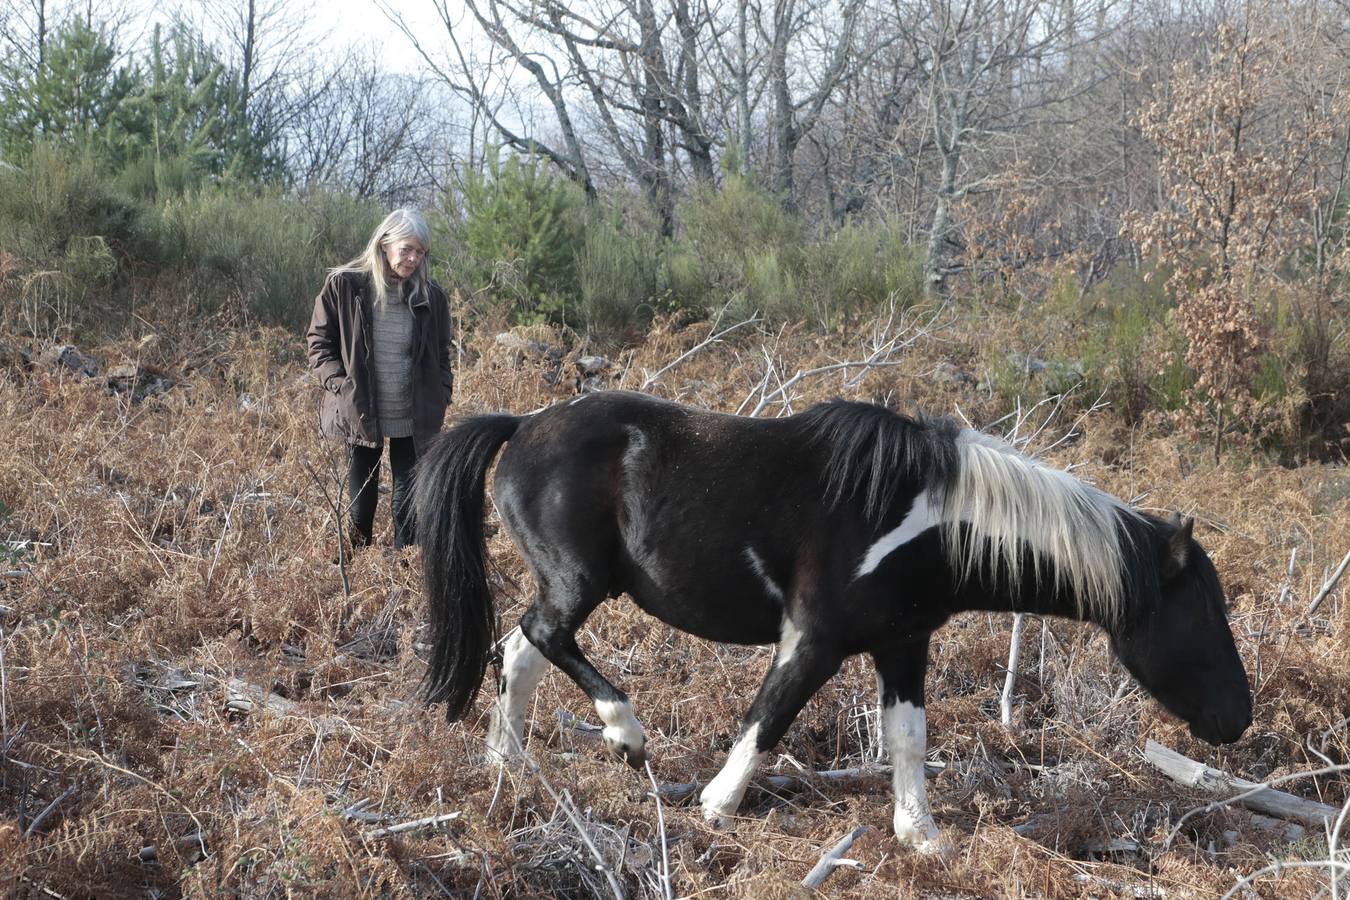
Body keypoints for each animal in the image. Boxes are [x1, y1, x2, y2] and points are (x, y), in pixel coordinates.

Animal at [413, 390, 1252, 851]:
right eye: (1204, 611)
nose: (1239, 718)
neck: (926, 517)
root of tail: (523, 424)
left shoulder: (903, 644)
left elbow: (907, 738)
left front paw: (921, 836)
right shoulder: (812, 638)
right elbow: (768, 717)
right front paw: (718, 806)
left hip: (569, 584)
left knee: (519, 649)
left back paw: (508, 763)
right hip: (579, 582)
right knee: (544, 638)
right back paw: (625, 735)